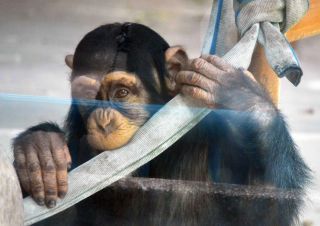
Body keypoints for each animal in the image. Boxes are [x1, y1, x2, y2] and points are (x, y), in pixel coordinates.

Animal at [13, 21, 310, 226]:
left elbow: (261, 205)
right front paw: (40, 150)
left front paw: (241, 96)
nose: (103, 121)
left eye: (122, 92)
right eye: (88, 95)